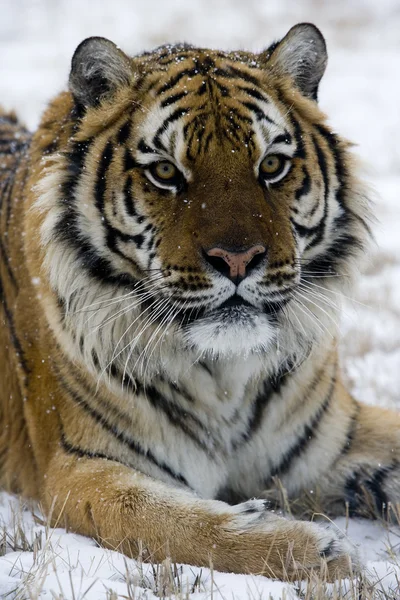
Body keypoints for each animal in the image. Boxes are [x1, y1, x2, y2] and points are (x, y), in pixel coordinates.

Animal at [0, 23, 400, 580]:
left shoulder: (337, 433)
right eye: (166, 172)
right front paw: (319, 553)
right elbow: (179, 525)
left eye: (272, 164)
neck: (225, 376)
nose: (238, 258)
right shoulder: (79, 469)